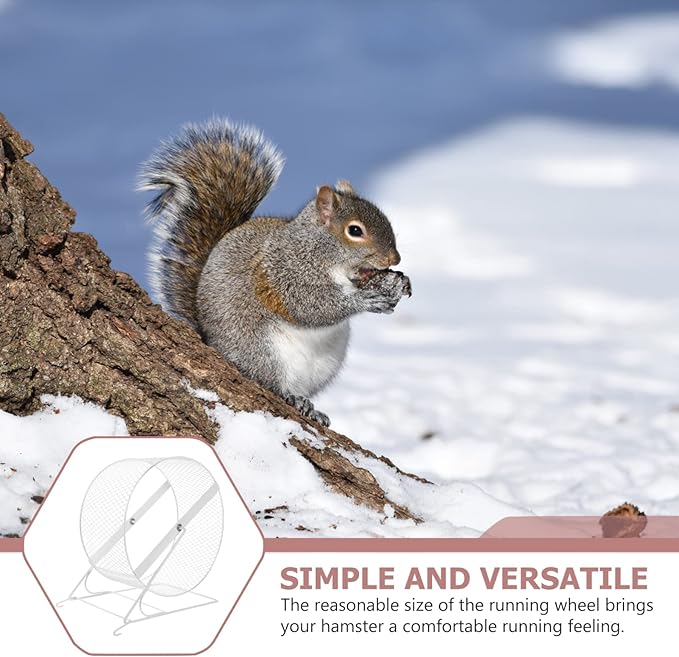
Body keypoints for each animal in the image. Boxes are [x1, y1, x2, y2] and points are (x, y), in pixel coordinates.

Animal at [138, 118, 411, 427]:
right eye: (355, 230)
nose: (395, 258)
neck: (318, 250)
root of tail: (210, 342)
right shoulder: (284, 272)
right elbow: (310, 306)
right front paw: (366, 300)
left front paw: (398, 284)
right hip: (261, 351)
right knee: (269, 382)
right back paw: (291, 396)